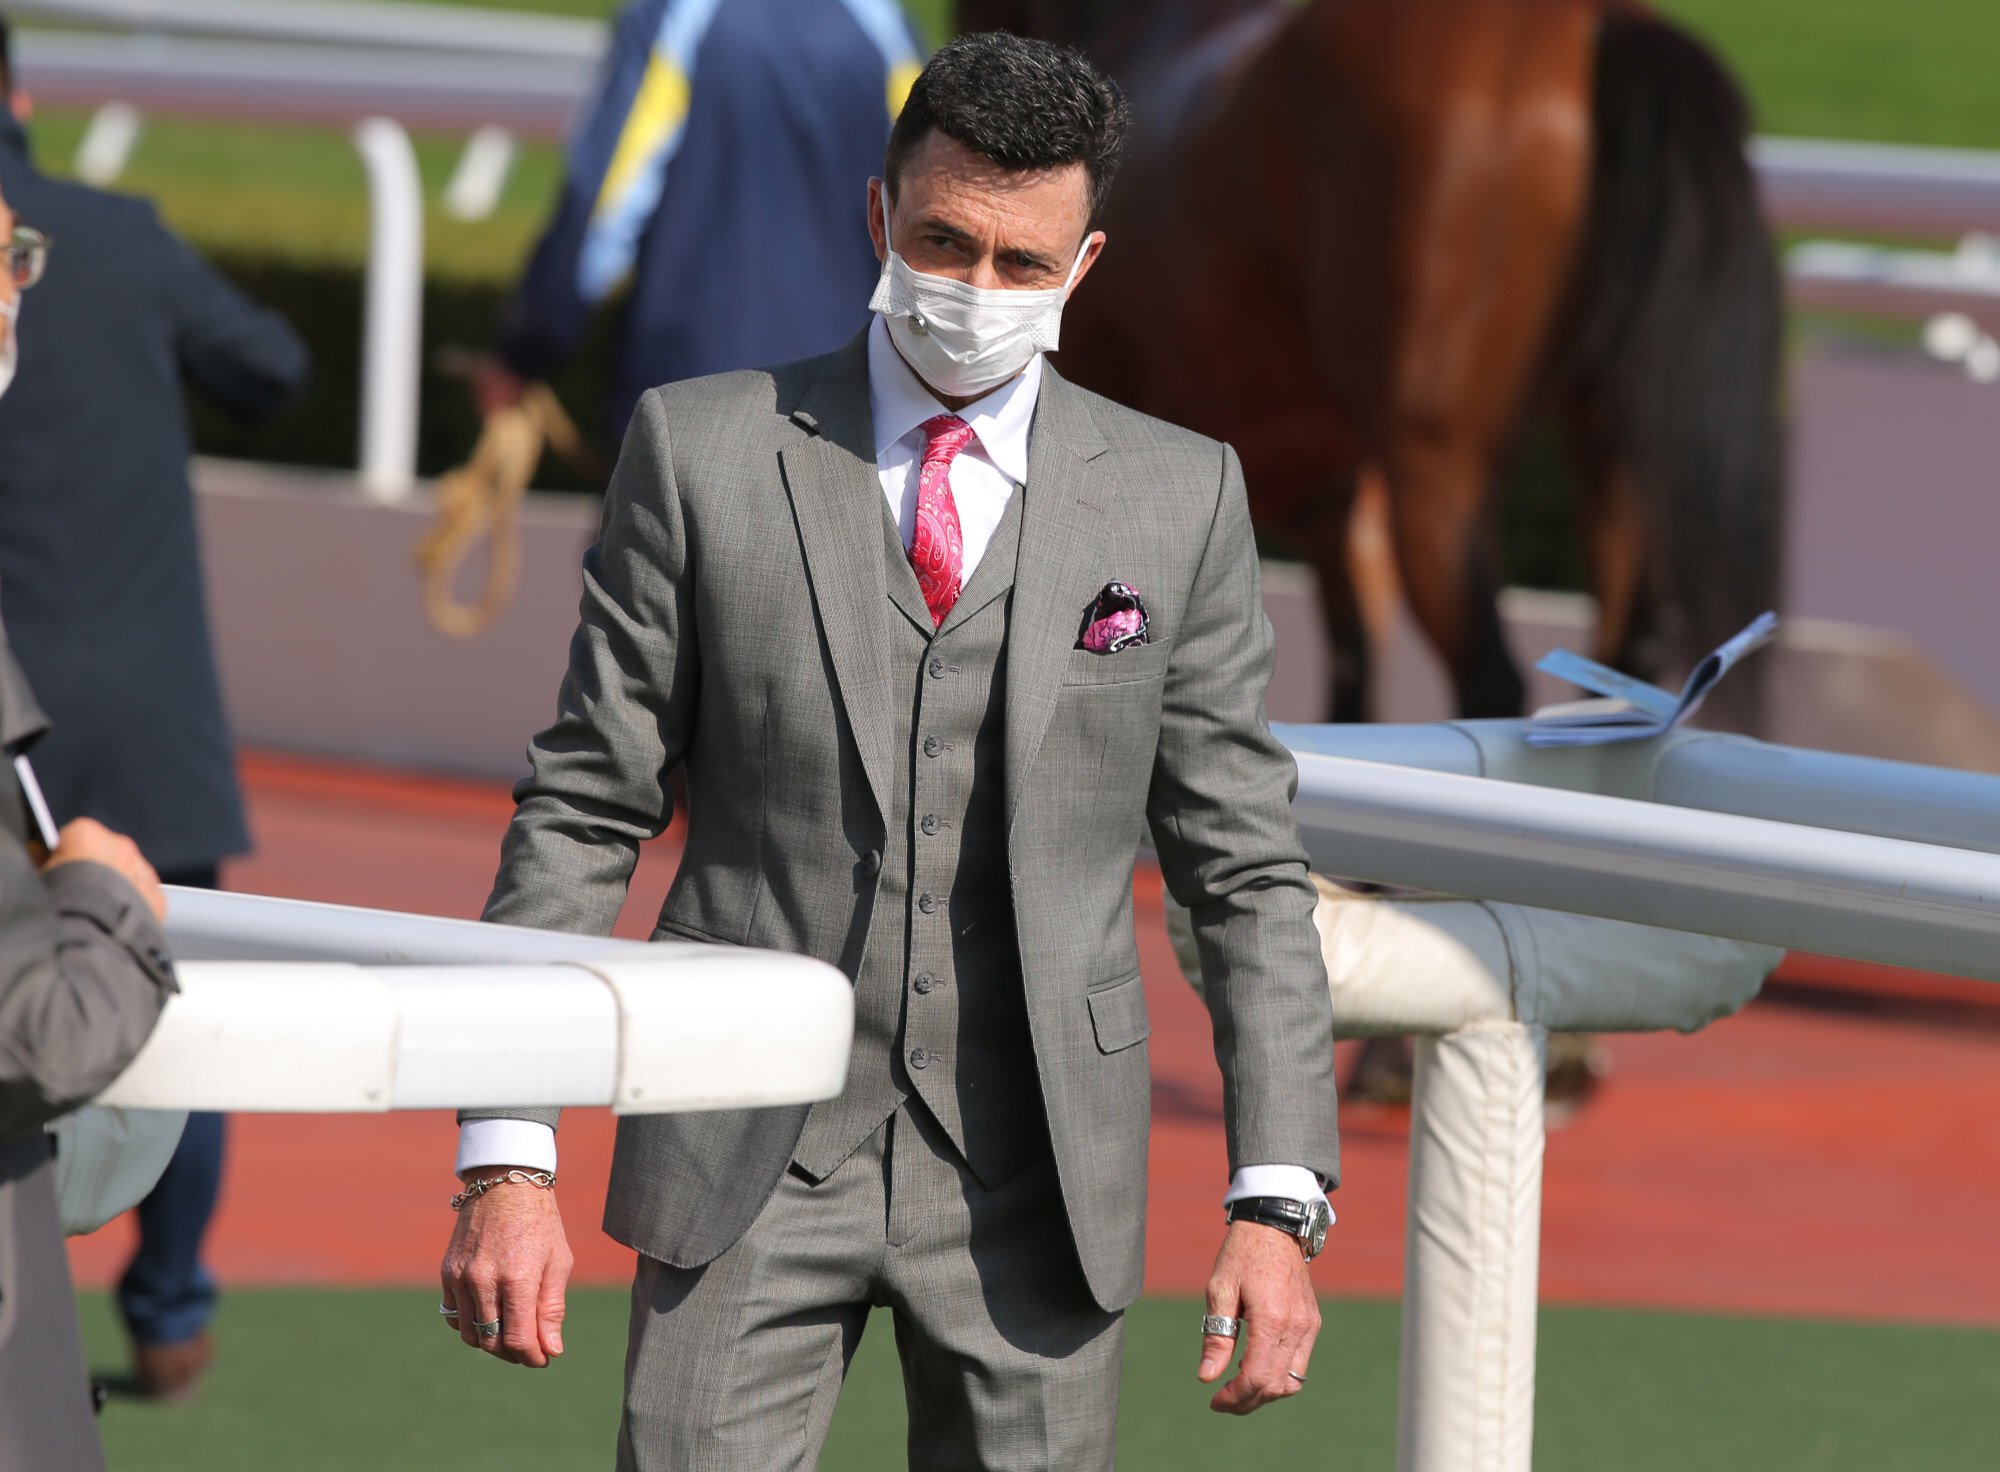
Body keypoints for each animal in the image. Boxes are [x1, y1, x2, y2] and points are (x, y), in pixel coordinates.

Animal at [952, 0, 1784, 724]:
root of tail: (1597, 23)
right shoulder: (1323, 483)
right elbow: (1348, 662)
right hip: (1610, 449)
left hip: (1437, 466)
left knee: (1490, 676)